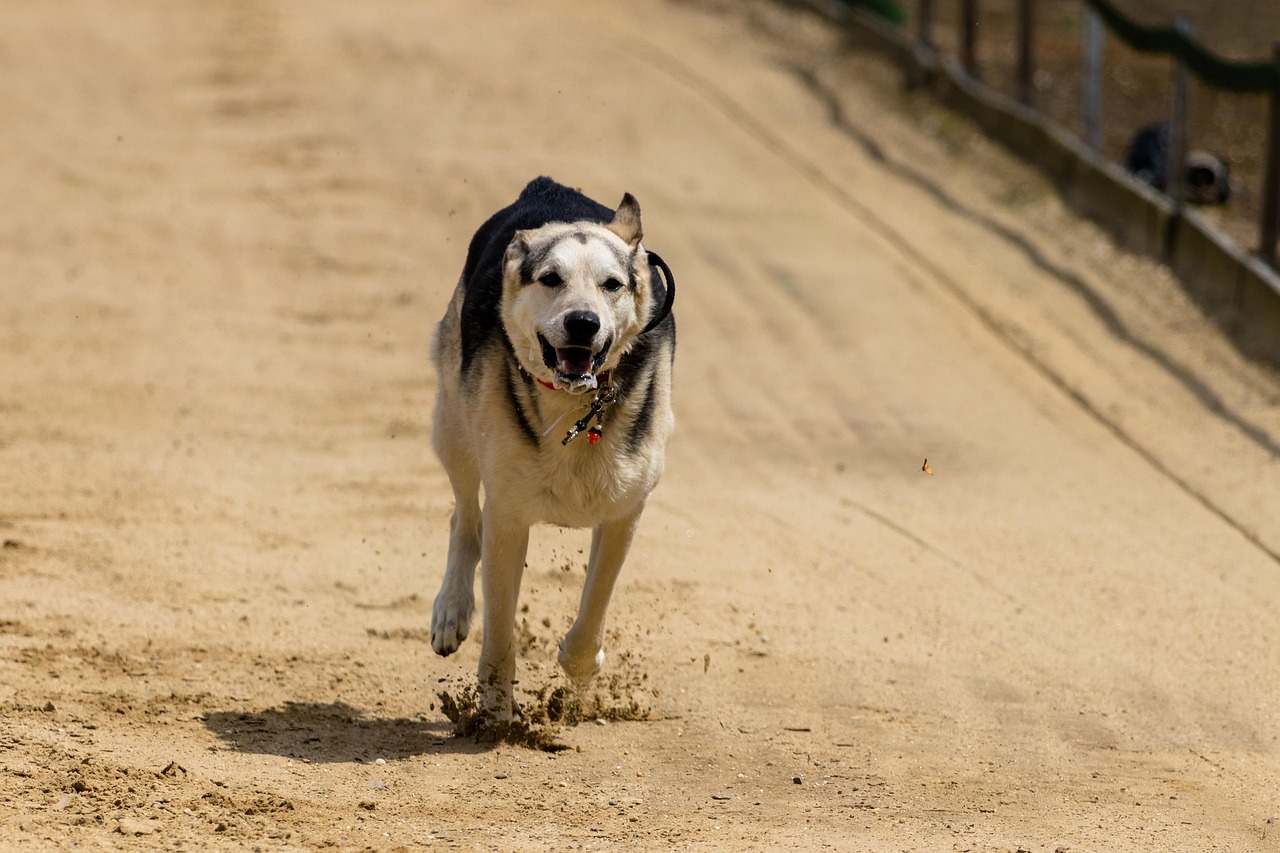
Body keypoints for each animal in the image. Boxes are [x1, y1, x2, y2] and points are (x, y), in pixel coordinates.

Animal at [427, 175, 675, 722]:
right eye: (550, 278)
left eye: (612, 284)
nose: (583, 322)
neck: (576, 404)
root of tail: (548, 186)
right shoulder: (508, 516)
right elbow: (499, 632)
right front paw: (497, 715)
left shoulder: (625, 513)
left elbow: (596, 601)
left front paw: (579, 668)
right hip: (453, 426)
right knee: (463, 517)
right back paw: (451, 610)